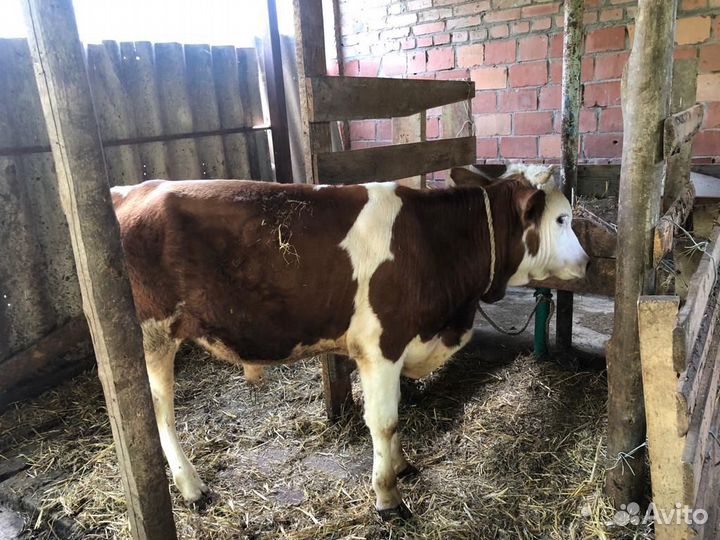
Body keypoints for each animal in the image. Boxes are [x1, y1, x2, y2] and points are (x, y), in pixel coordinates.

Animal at [110, 163, 588, 520]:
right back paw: (191, 487)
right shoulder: (382, 345)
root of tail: (131, 190)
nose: (586, 261)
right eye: (562, 218)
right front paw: (388, 498)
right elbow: (383, 420)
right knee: (160, 413)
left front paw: (402, 465)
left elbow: (395, 416)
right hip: (153, 335)